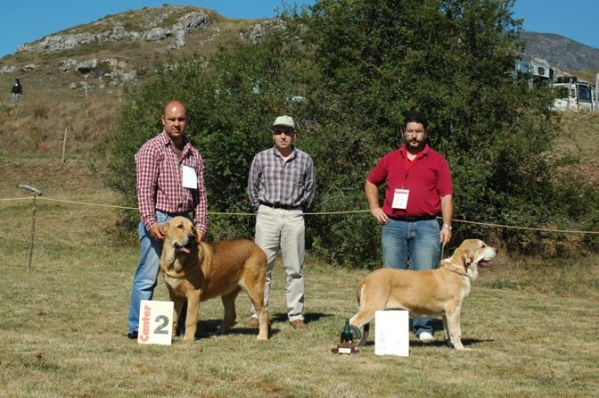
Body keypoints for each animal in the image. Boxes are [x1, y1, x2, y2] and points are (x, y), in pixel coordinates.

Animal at [352, 238, 496, 350]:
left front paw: (450, 345)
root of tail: (366, 279)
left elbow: (447, 330)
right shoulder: (453, 309)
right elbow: (456, 332)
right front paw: (461, 348)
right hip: (372, 308)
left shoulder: (445, 313)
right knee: (353, 322)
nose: (496, 250)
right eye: (483, 246)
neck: (458, 270)